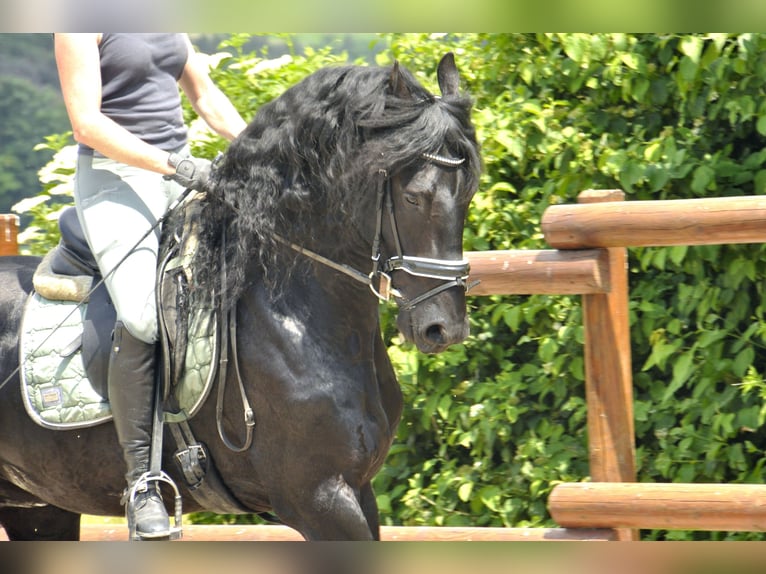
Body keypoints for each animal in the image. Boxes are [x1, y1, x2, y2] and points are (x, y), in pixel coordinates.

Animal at [0, 52, 481, 540]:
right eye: (414, 197)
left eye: (469, 194)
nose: (444, 327)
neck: (296, 318)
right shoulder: (320, 498)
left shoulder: (359, 491)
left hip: (38, 507)